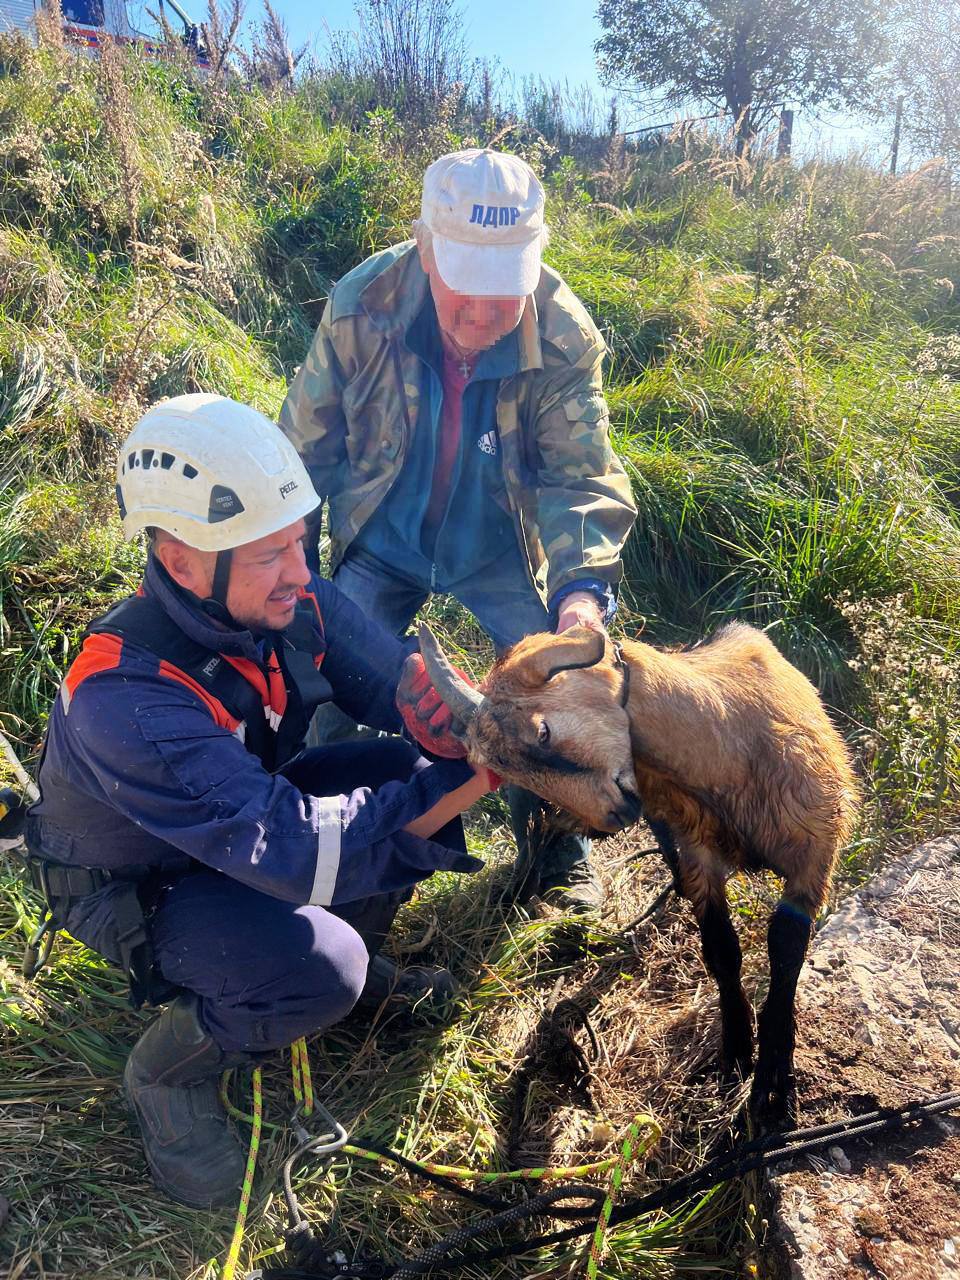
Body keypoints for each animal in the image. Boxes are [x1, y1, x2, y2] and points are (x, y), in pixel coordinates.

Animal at [417, 622, 860, 1131]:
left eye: (542, 731)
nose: (613, 813)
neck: (726, 739)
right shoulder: (698, 854)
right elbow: (721, 950)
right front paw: (735, 1054)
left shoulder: (813, 856)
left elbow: (786, 955)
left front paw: (772, 1087)